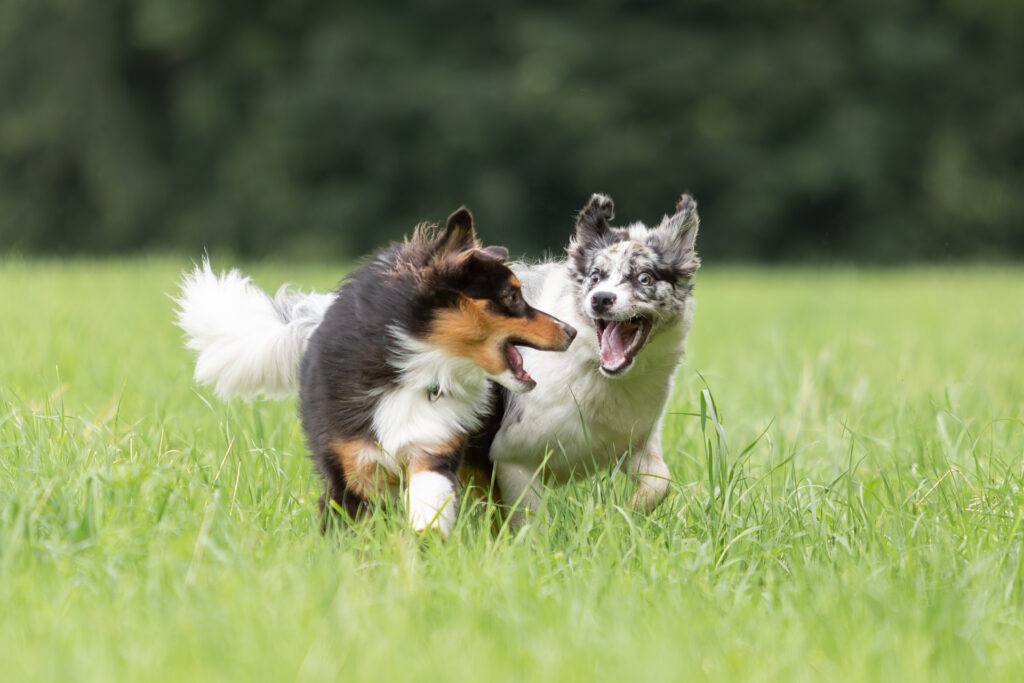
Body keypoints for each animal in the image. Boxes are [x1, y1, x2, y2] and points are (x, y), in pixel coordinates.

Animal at [176, 205, 577, 536]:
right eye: (511, 297)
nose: (572, 331)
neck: (417, 367)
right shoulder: (352, 469)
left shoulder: (433, 445)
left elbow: (430, 505)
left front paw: (425, 544)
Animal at [466, 193, 704, 524]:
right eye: (595, 276)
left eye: (644, 277)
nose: (601, 299)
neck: (591, 365)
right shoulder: (513, 459)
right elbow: (532, 525)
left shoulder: (633, 442)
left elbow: (660, 482)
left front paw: (620, 518)